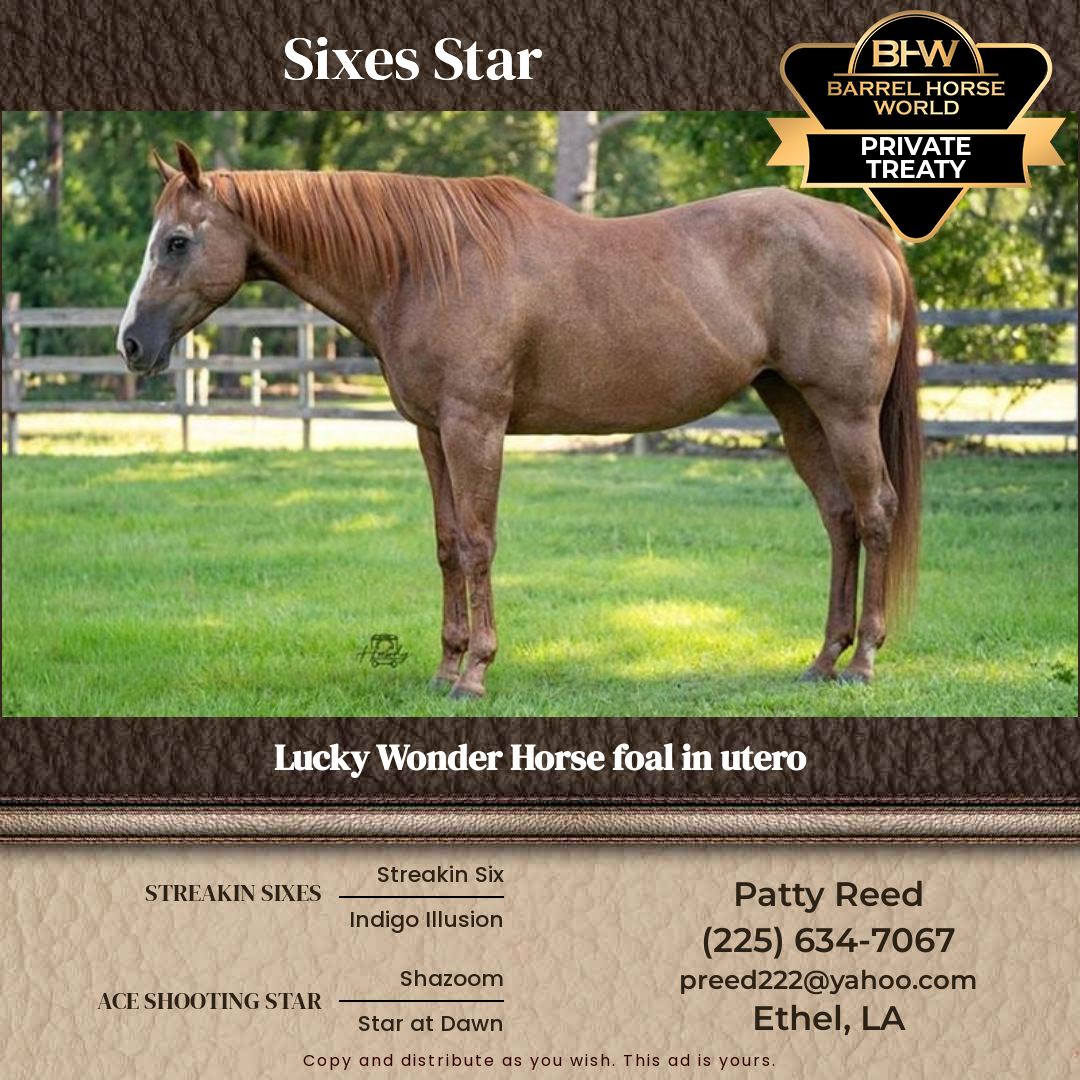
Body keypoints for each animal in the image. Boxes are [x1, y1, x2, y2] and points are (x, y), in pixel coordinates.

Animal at [118, 141, 921, 699]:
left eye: (178, 241)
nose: (131, 344)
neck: (424, 267)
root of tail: (860, 225)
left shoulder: (475, 426)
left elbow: (479, 544)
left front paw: (475, 672)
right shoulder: (432, 432)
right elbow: (447, 545)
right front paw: (444, 669)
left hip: (845, 413)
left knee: (876, 513)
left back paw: (864, 662)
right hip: (797, 411)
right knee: (840, 520)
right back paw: (823, 660)